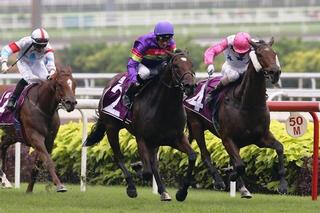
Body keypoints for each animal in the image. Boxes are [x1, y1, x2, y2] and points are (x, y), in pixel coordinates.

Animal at [84, 50, 196, 201]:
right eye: (176, 66)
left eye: (191, 64)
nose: (190, 86)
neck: (165, 107)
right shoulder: (142, 138)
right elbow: (147, 172)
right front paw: (137, 167)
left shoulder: (176, 138)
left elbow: (192, 156)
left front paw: (181, 192)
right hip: (111, 128)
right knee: (119, 158)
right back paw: (132, 187)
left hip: (154, 142)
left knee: (154, 164)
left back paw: (163, 192)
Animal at [185, 37, 288, 196]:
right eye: (259, 54)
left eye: (274, 53)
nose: (275, 72)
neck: (247, 103)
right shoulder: (227, 138)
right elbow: (239, 165)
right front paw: (231, 175)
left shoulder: (261, 137)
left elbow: (280, 148)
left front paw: (282, 185)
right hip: (196, 125)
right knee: (204, 154)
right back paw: (219, 182)